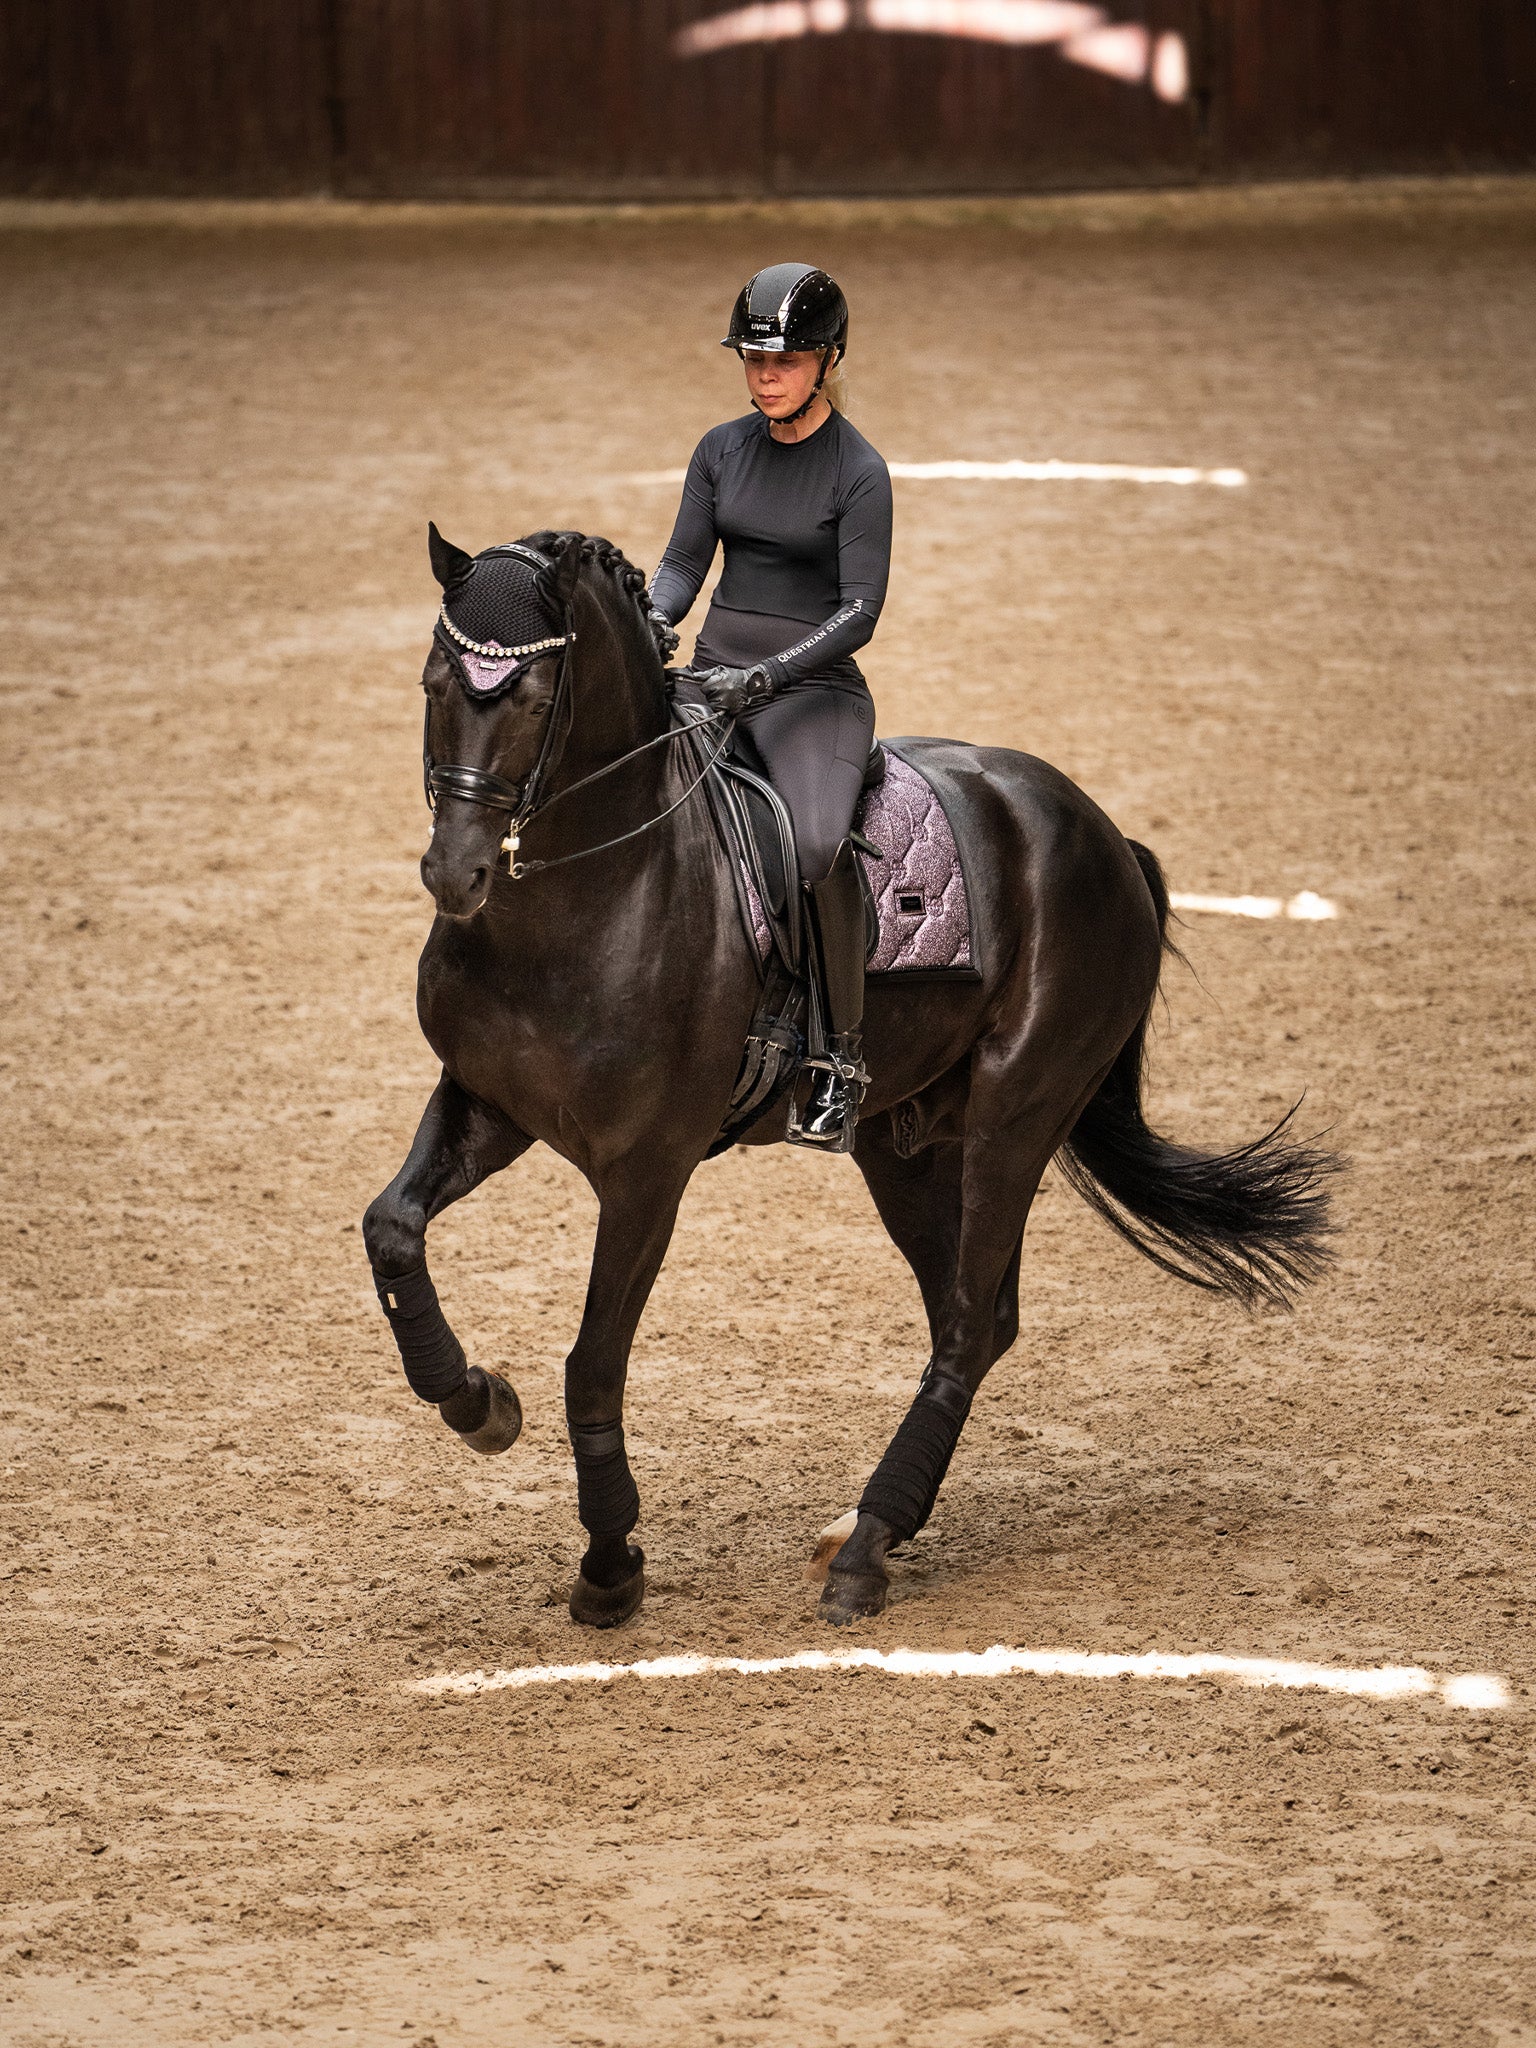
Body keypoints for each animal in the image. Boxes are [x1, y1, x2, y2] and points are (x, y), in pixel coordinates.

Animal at [362, 525, 1336, 1630]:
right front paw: (478, 1402)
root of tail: (1103, 834)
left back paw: (866, 1549)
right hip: (902, 1141)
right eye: (434, 683)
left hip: (1016, 1116)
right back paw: (868, 1527)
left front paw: (610, 1567)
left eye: (530, 698)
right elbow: (391, 1228)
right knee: (976, 1316)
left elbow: (594, 1365)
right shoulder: (489, 1102)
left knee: (968, 1323)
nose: (455, 874)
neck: (588, 894)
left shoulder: (648, 1173)